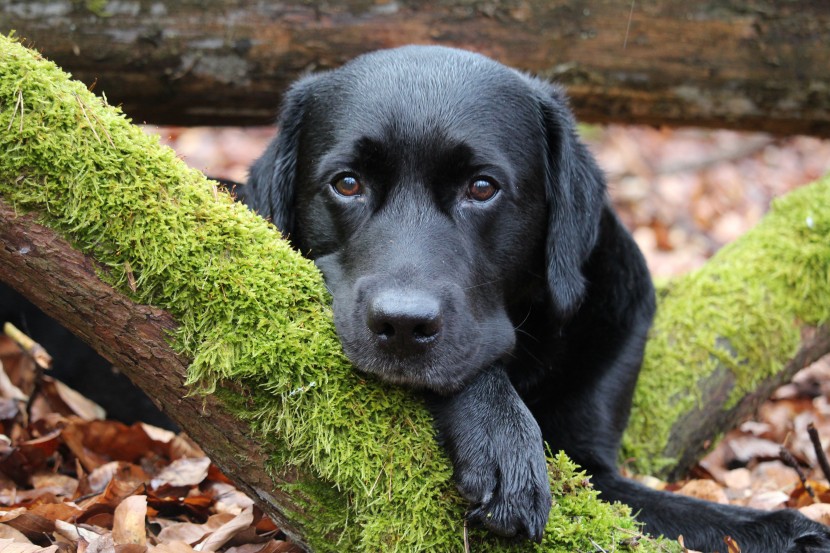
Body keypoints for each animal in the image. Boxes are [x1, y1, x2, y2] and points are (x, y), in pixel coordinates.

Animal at [245, 47, 830, 552]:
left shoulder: (597, 466)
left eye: (482, 188)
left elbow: (697, 518)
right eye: (347, 183)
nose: (403, 326)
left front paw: (788, 530)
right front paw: (503, 437)